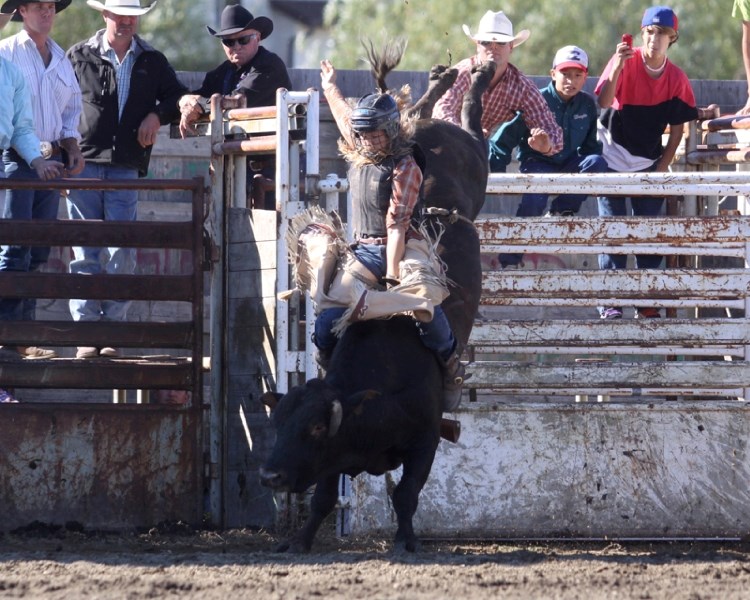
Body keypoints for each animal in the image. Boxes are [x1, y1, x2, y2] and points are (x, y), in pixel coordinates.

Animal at [260, 62, 500, 552]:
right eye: (279, 421)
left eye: (315, 428)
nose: (271, 476)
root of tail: (413, 134)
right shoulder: (334, 461)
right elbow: (323, 498)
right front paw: (300, 541)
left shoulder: (426, 440)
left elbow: (406, 495)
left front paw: (406, 542)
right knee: (426, 109)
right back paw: (442, 82)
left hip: (476, 159)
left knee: (473, 126)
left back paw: (475, 78)